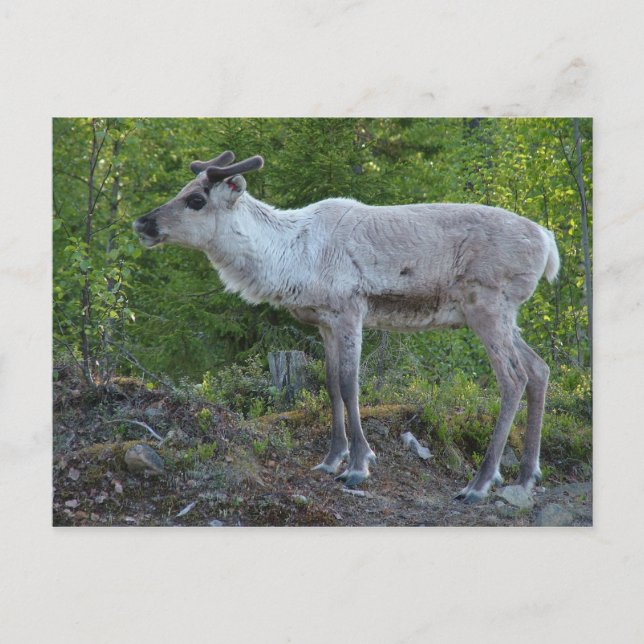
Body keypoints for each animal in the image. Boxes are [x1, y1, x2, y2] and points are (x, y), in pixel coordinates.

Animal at [133, 150, 559, 503]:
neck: (290, 256)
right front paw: (330, 459)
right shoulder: (324, 320)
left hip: (486, 306)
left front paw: (358, 465)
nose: (142, 223)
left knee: (513, 378)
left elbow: (351, 383)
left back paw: (480, 483)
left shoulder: (350, 310)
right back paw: (525, 476)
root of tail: (549, 242)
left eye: (196, 200)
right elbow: (330, 384)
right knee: (539, 368)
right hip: (503, 315)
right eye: (182, 190)